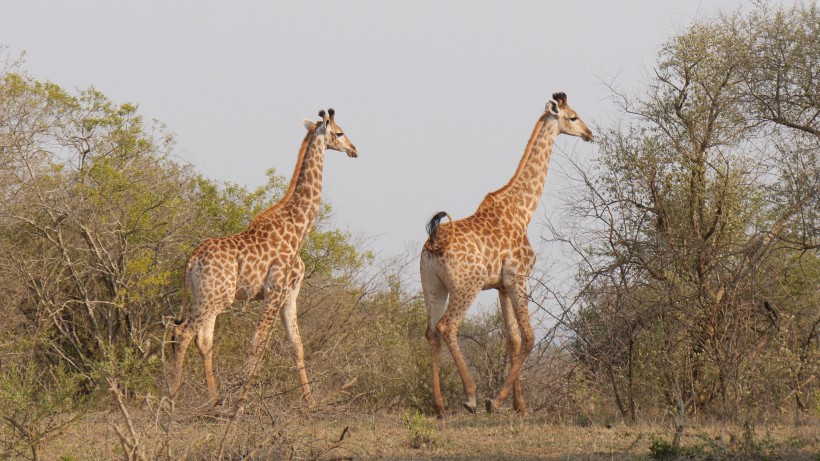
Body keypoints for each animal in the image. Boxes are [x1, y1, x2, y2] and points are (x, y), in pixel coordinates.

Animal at [169, 108, 356, 402]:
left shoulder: (290, 295)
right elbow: (257, 346)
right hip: (215, 297)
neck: (299, 228)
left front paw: (311, 404)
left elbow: (296, 346)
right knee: (183, 333)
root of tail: (190, 261)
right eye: (339, 132)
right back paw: (173, 397)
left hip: (206, 297)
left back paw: (213, 399)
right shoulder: (274, 292)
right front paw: (241, 401)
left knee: (202, 340)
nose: (354, 149)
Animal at [420, 91, 592, 416]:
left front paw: (519, 404)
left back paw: (438, 406)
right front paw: (497, 400)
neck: (522, 210)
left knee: (431, 332)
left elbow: (512, 339)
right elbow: (528, 336)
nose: (590, 134)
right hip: (466, 285)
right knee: (448, 326)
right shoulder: (518, 276)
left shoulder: (501, 285)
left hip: (433, 286)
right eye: (573, 116)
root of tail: (433, 243)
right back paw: (471, 396)